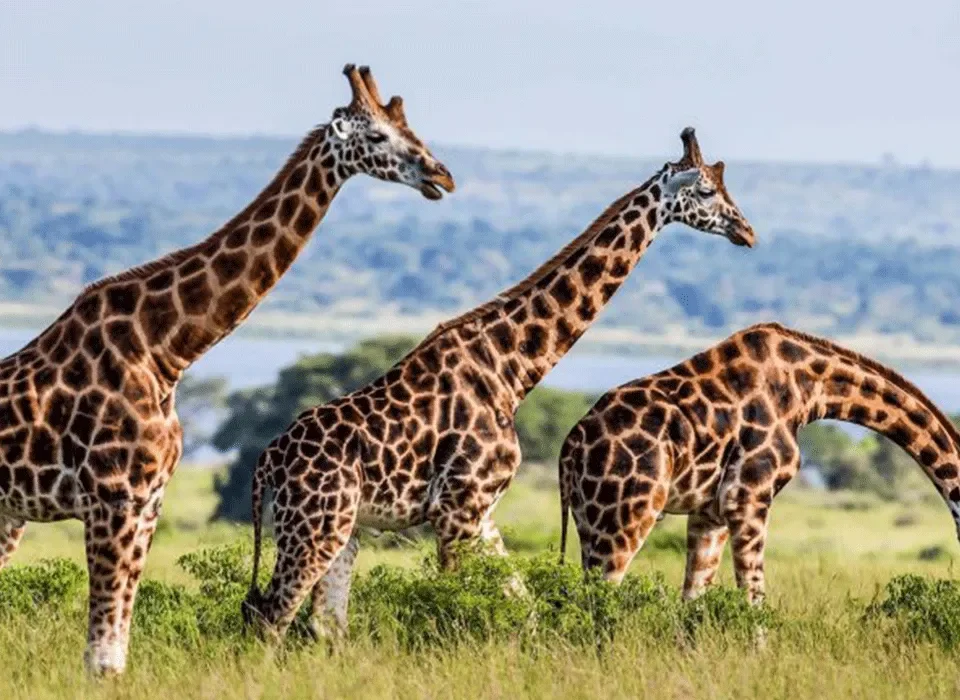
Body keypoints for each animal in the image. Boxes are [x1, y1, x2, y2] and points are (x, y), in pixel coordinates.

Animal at [0, 64, 454, 675]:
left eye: (413, 128)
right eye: (380, 137)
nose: (442, 175)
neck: (164, 350)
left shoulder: (147, 503)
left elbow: (115, 647)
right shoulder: (112, 498)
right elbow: (103, 655)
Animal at [243, 127, 757, 641]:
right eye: (706, 191)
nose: (747, 231)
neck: (510, 371)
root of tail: (266, 462)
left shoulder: (482, 512)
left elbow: (523, 605)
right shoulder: (455, 509)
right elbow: (450, 602)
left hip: (342, 528)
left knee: (322, 622)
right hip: (314, 525)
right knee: (271, 614)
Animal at [559, 322, 960, 603]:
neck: (810, 390)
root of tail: (570, 447)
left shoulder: (710, 514)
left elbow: (693, 598)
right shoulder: (748, 498)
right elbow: (754, 597)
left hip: (589, 520)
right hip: (627, 516)